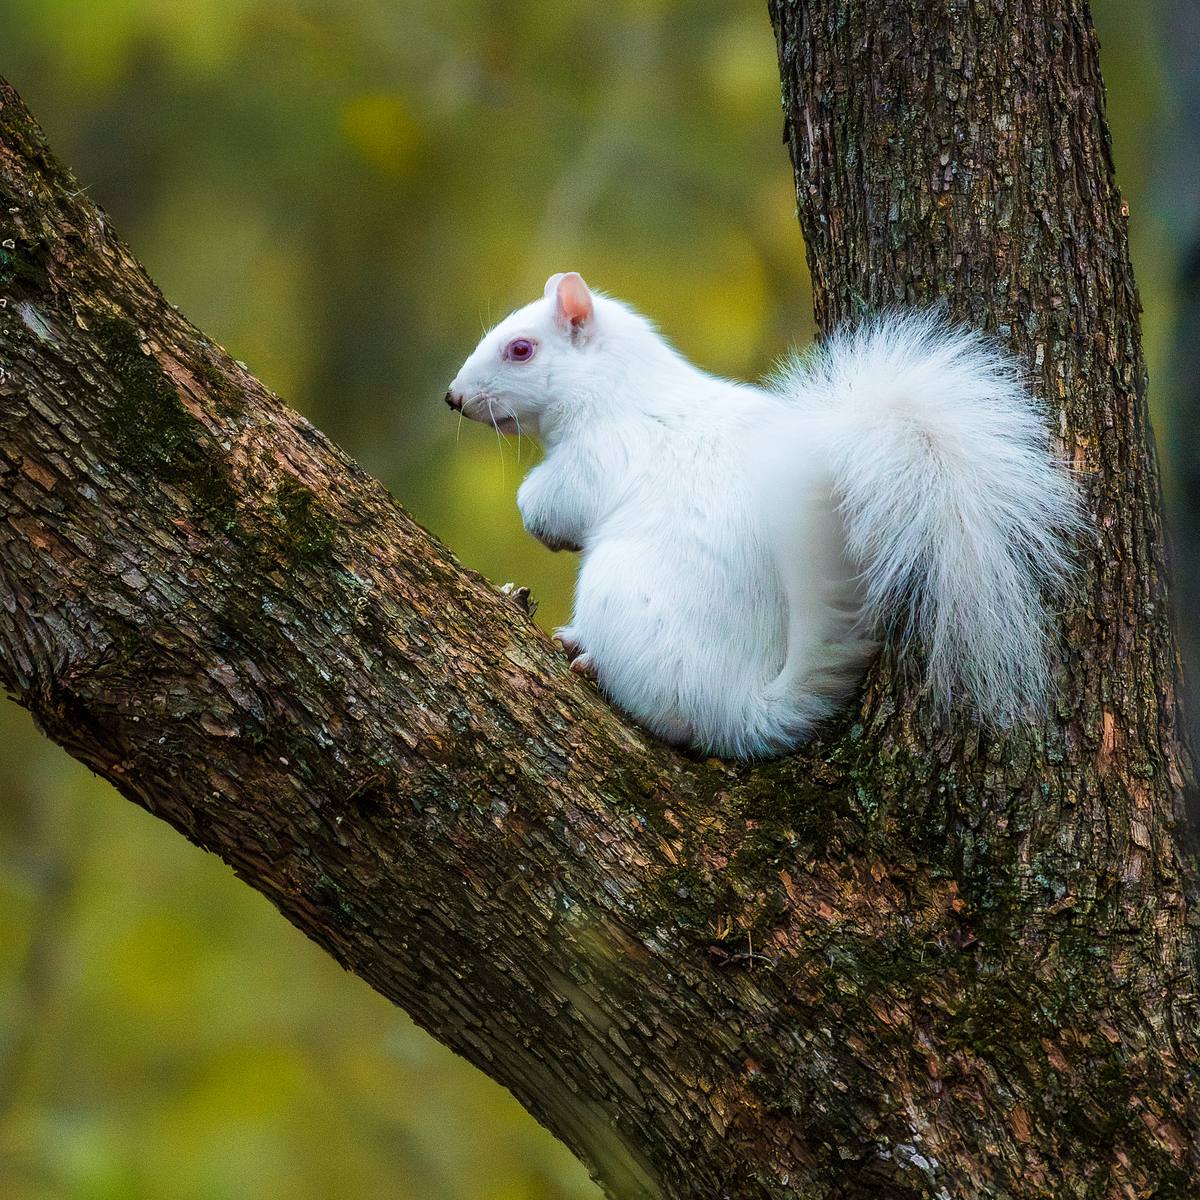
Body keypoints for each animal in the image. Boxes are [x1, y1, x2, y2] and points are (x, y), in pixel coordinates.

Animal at [446, 272, 1083, 758]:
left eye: (521, 349)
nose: (453, 397)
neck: (615, 389)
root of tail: (737, 709)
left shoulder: (602, 455)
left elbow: (559, 499)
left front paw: (538, 519)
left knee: (667, 718)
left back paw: (591, 660)